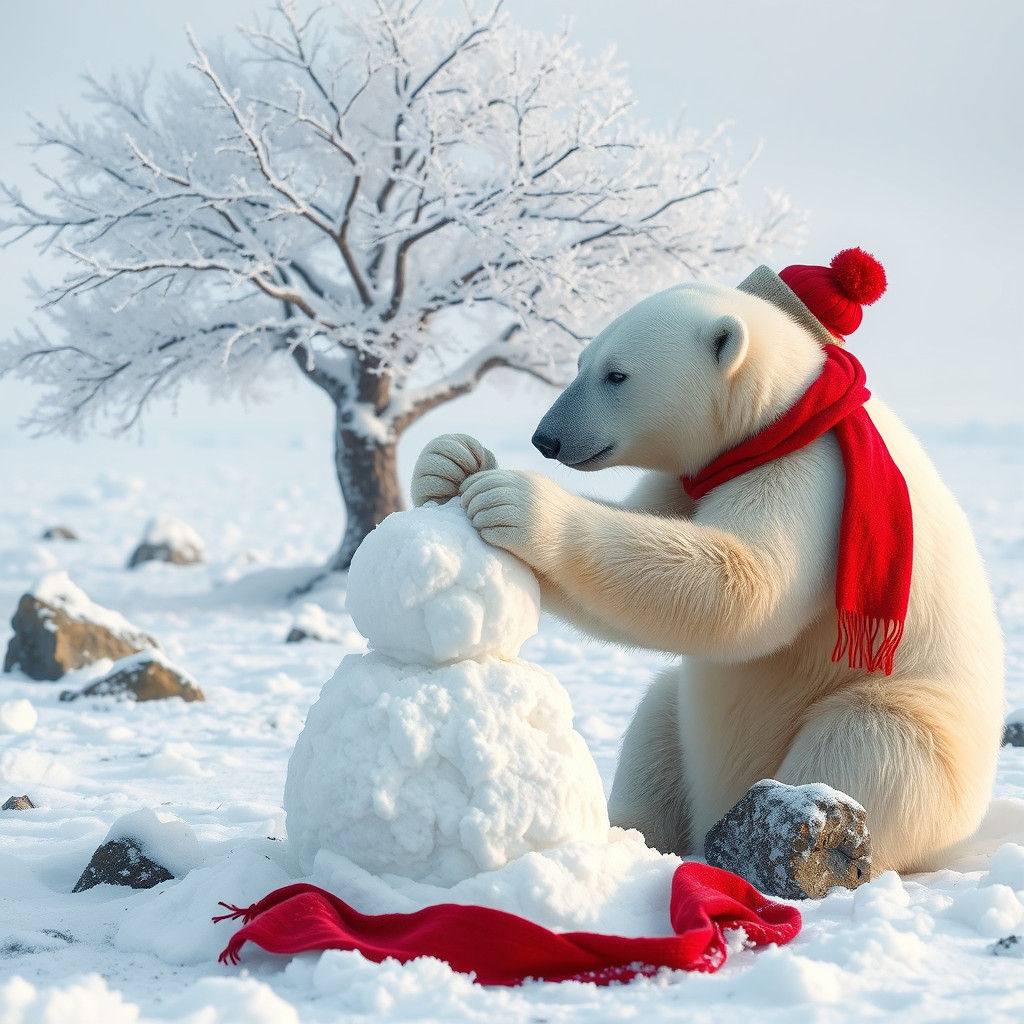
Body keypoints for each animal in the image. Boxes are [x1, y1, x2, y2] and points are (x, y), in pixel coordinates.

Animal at [409, 262, 1004, 892]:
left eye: (617, 374)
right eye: (580, 362)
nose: (545, 437)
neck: (782, 415)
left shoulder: (816, 477)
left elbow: (745, 586)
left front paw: (517, 501)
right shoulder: (689, 481)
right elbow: (648, 530)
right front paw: (449, 462)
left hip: (914, 727)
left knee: (865, 744)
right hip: (688, 733)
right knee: (660, 721)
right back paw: (634, 833)